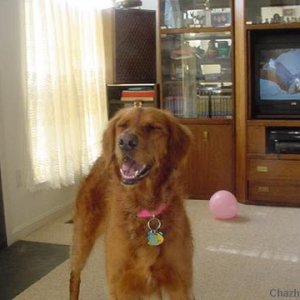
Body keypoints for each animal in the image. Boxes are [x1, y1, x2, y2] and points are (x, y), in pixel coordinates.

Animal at [69, 108, 193, 300]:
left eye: (153, 127)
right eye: (122, 125)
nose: (125, 142)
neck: (145, 211)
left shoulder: (180, 282)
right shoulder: (120, 285)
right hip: (82, 239)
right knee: (74, 275)